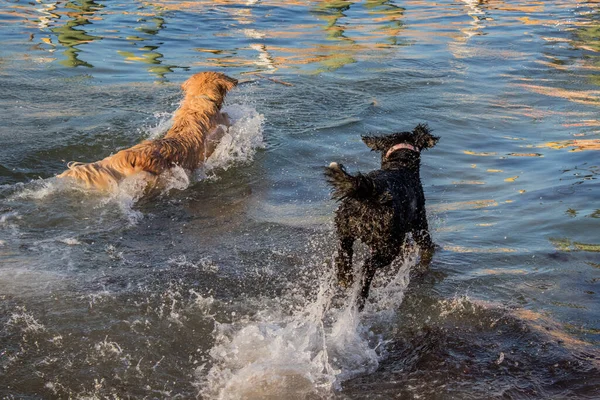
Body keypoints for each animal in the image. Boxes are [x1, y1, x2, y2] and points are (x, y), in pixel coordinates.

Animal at [326, 123, 438, 310]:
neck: (399, 164)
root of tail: (370, 192)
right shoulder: (420, 226)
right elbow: (427, 246)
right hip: (389, 245)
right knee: (368, 266)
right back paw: (361, 296)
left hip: (345, 227)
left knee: (344, 252)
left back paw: (345, 278)